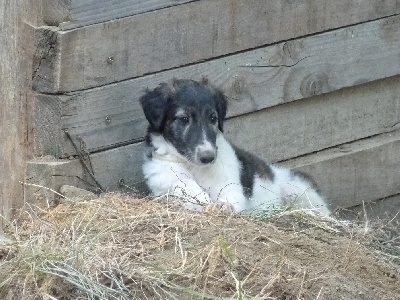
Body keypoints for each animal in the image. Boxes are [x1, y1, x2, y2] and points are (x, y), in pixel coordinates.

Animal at [139, 79, 330, 216]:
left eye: (213, 119)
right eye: (184, 119)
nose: (208, 157)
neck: (194, 166)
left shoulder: (231, 185)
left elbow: (229, 197)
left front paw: (222, 206)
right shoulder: (165, 180)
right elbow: (186, 187)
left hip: (299, 189)